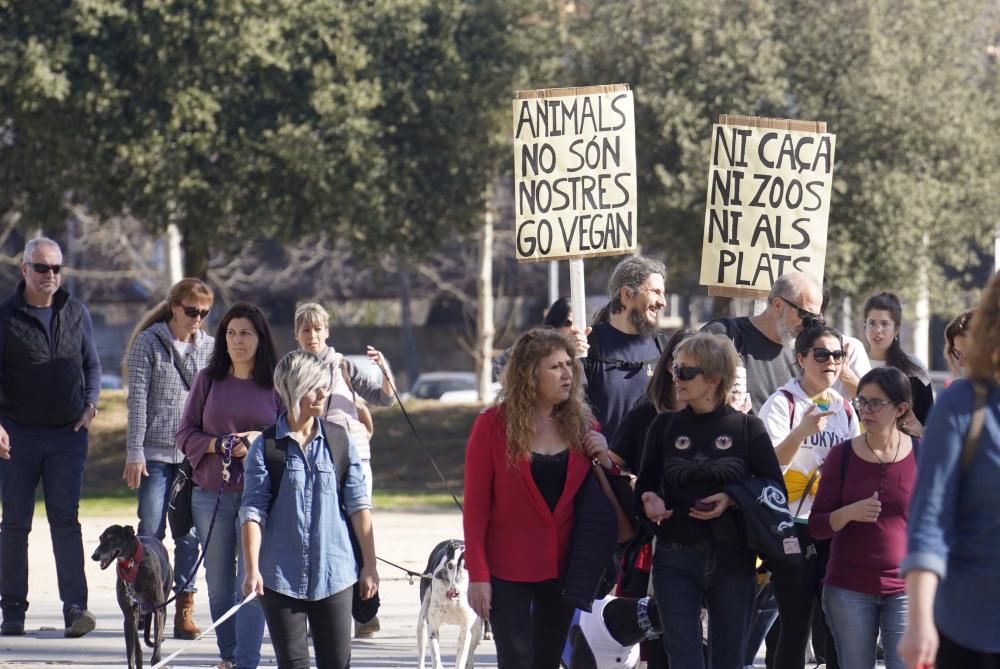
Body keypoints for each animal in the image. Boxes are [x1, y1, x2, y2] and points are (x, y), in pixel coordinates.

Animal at [416, 536, 482, 668]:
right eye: (450, 565)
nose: (453, 591)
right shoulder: (433, 627)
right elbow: (436, 660)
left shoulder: (465, 630)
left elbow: (461, 660)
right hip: (422, 623)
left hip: (477, 629)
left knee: (471, 650)